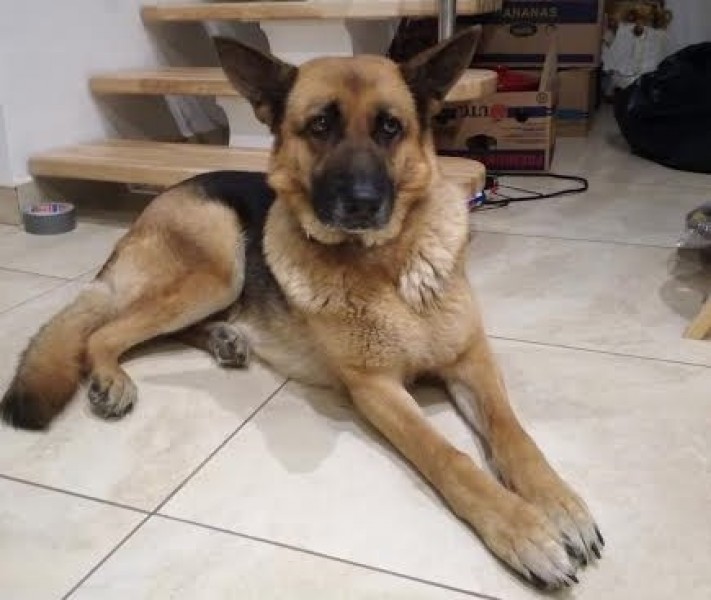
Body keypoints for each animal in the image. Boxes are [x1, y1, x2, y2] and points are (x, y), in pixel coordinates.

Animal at [1, 27, 602, 588]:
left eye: (390, 127)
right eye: (319, 126)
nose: (362, 204)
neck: (384, 263)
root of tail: (165, 194)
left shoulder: (471, 358)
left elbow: (514, 433)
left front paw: (560, 503)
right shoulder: (376, 387)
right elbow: (447, 456)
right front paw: (523, 530)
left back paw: (225, 340)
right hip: (219, 267)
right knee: (103, 332)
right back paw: (113, 377)